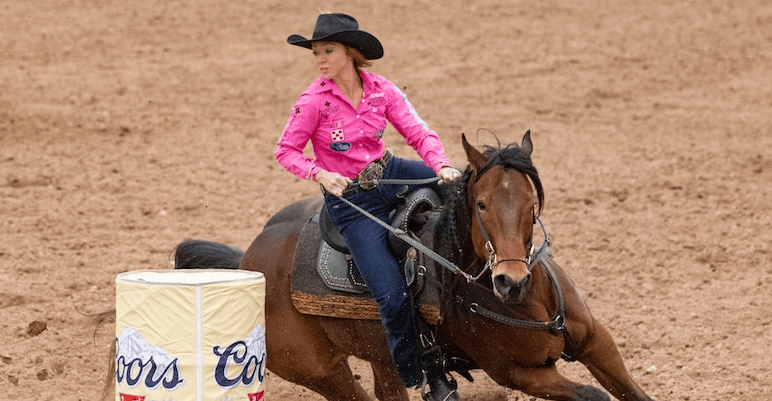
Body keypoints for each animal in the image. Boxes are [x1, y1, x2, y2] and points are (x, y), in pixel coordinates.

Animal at [98, 132, 652, 400]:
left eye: (532, 203)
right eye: (481, 205)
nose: (509, 281)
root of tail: (249, 260)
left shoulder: (597, 341)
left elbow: (630, 392)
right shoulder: (520, 373)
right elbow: (595, 396)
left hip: (384, 361)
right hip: (323, 371)